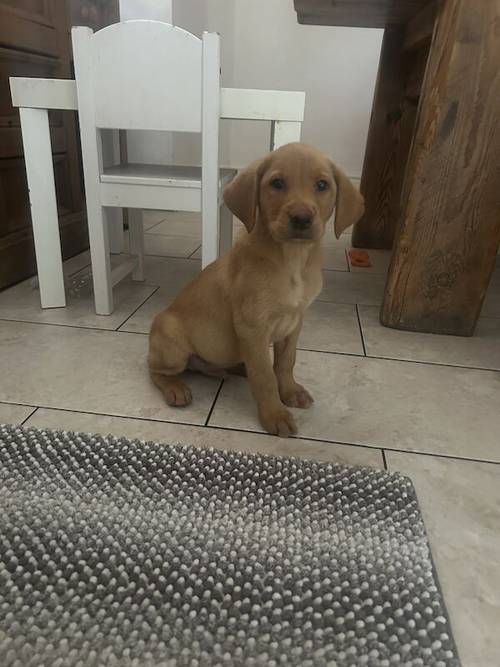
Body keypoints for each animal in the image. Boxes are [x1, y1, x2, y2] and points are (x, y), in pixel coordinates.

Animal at [148, 142, 364, 438]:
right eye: (277, 183)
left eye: (322, 184)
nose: (301, 218)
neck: (292, 260)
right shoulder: (253, 327)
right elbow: (264, 376)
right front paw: (274, 414)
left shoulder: (295, 322)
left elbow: (284, 363)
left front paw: (290, 391)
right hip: (171, 343)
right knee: (154, 369)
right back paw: (175, 388)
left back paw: (235, 368)